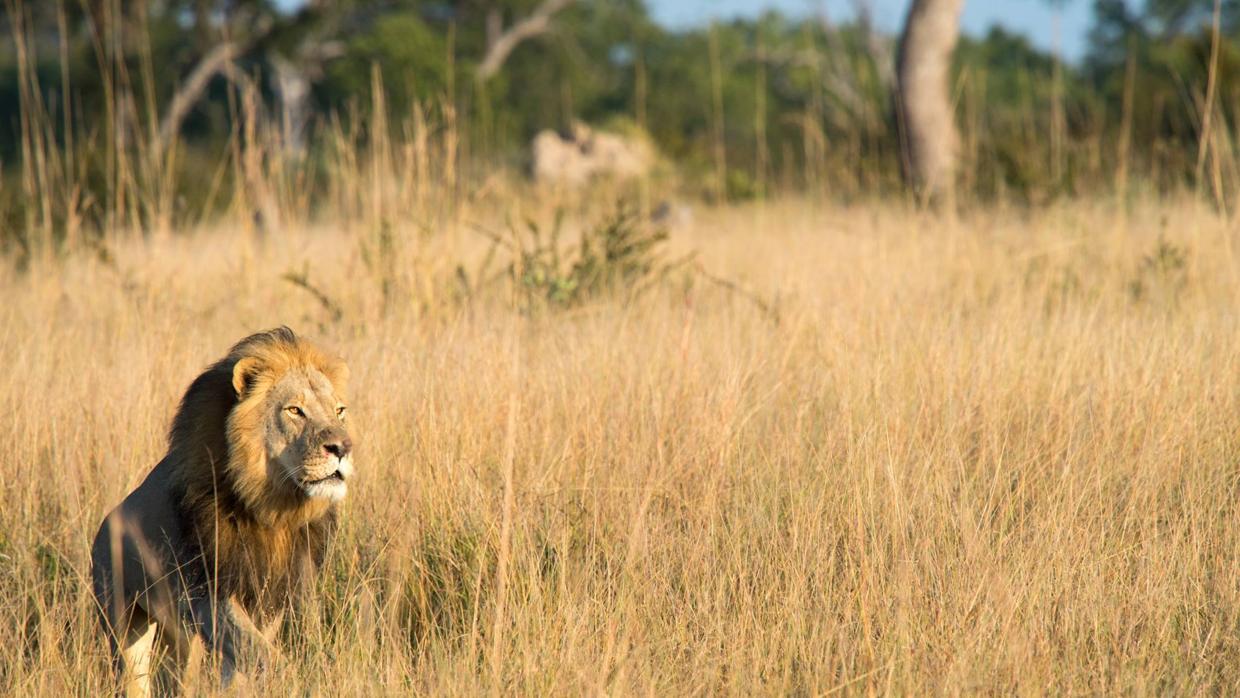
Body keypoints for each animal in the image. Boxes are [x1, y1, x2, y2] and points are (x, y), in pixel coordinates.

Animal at [90, 329, 354, 698]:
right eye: (294, 410)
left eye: (339, 411)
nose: (343, 447)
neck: (271, 508)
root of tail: (103, 526)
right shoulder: (207, 592)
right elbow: (257, 650)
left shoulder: (276, 591)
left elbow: (247, 657)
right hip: (121, 617)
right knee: (133, 674)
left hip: (178, 637)